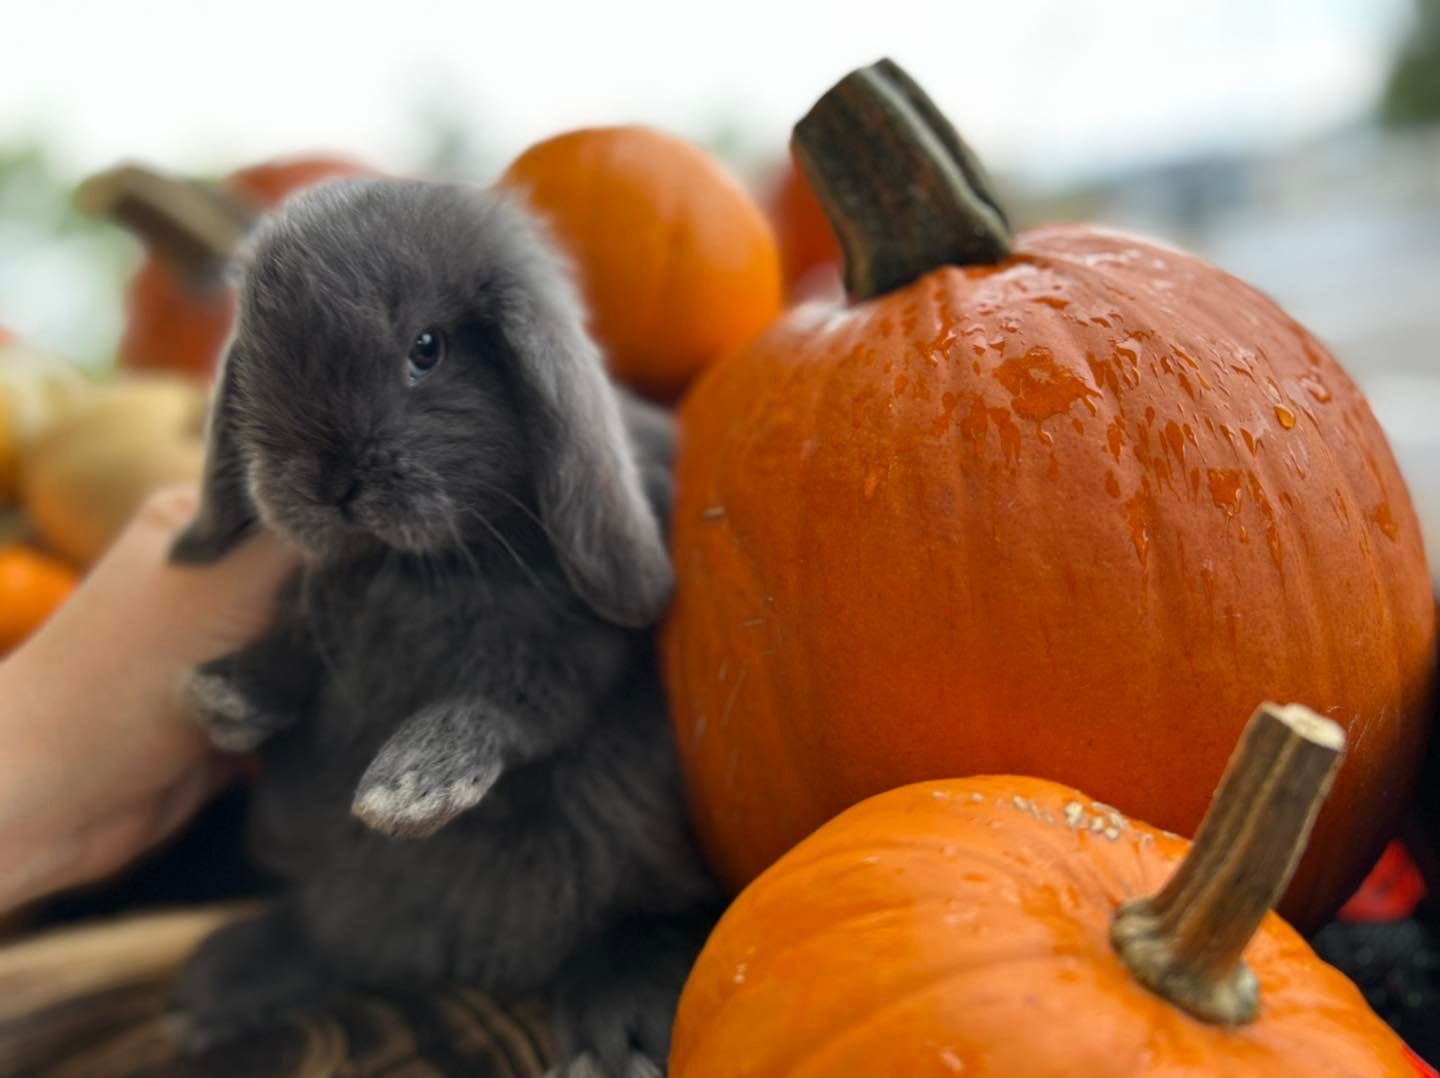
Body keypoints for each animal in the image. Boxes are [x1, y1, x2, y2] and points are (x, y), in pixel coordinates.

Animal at [169, 178, 720, 1076]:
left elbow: (506, 709)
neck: (420, 566)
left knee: (631, 921)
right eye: (255, 355)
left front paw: (408, 789)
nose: (328, 484)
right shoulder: (317, 607)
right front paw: (225, 696)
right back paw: (223, 984)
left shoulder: (568, 652)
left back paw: (614, 1030)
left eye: (426, 349)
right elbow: (294, 650)